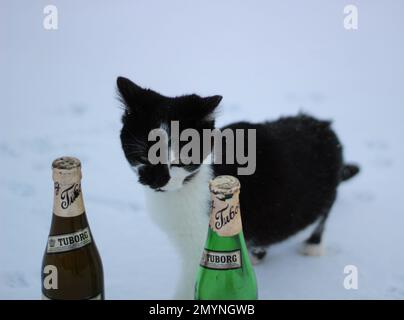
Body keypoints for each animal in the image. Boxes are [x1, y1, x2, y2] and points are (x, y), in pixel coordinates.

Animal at [117, 76, 360, 298]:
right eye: (142, 156)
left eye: (181, 160)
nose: (157, 181)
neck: (186, 186)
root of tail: (321, 124)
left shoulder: (199, 245)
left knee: (322, 213)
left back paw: (312, 244)